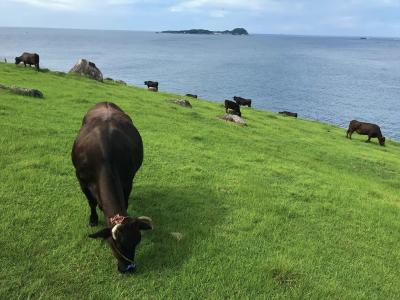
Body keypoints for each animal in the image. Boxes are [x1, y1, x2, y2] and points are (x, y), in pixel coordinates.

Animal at [71, 102, 152, 274]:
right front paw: (93, 219)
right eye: (116, 244)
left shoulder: (128, 179)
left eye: (137, 242)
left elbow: (125, 201)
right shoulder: (81, 179)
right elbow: (91, 202)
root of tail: (106, 102)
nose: (128, 268)